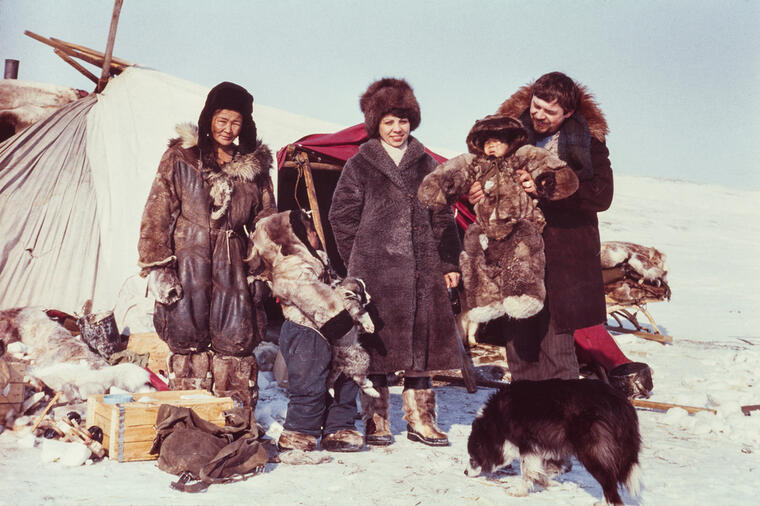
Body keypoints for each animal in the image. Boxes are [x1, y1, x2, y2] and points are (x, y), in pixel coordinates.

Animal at [464, 380, 640, 506]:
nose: (465, 472)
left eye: (472, 456)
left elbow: (526, 470)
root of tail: (622, 406)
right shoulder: (547, 445)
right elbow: (552, 467)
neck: (495, 421)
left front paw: (520, 491)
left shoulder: (527, 444)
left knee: (610, 485)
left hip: (592, 452)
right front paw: (545, 479)